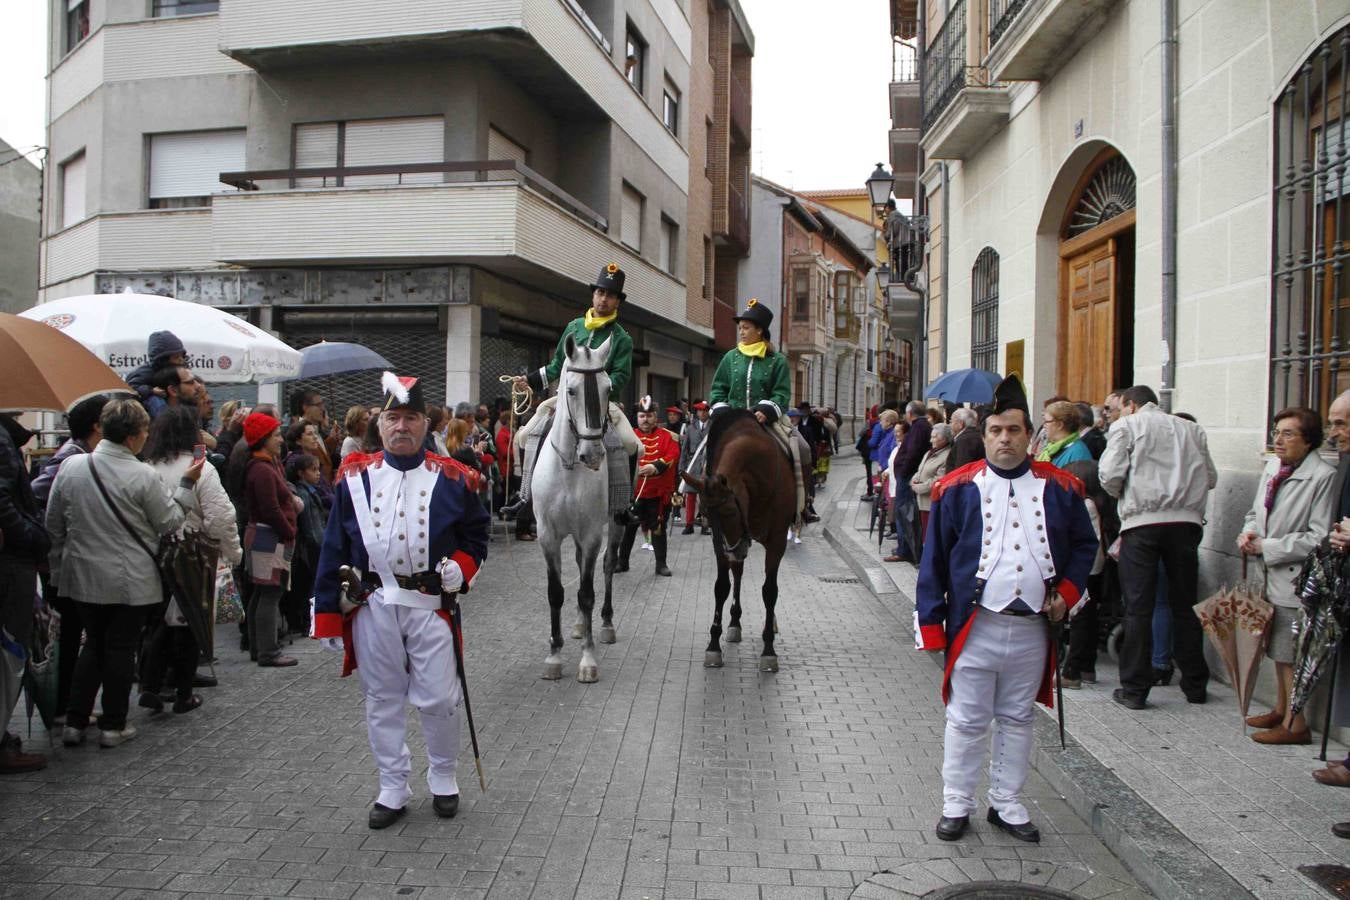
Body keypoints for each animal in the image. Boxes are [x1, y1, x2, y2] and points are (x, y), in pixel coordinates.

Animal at [534, 335, 623, 682]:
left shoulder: (591, 534)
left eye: (608, 389)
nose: (593, 454)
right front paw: (554, 656)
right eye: (571, 390)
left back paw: (605, 624)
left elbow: (587, 592)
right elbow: (555, 592)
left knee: (608, 565)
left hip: (615, 523)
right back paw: (577, 625)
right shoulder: (547, 535)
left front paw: (588, 660)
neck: (569, 467)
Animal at [685, 412, 799, 671]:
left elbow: (769, 591)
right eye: (704, 515)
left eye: (729, 512)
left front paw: (769, 650)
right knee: (737, 573)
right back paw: (735, 622)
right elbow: (721, 587)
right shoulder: (721, 545)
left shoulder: (777, 541)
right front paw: (713, 645)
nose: (733, 552)